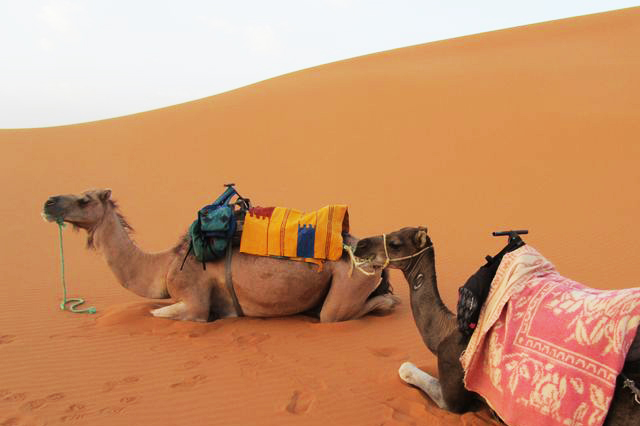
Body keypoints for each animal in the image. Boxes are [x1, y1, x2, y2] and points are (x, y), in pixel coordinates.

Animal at [42, 189, 399, 323]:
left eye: (85, 200)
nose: (49, 202)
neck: (164, 265)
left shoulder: (194, 298)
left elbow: (159, 313)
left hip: (349, 283)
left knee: (345, 311)